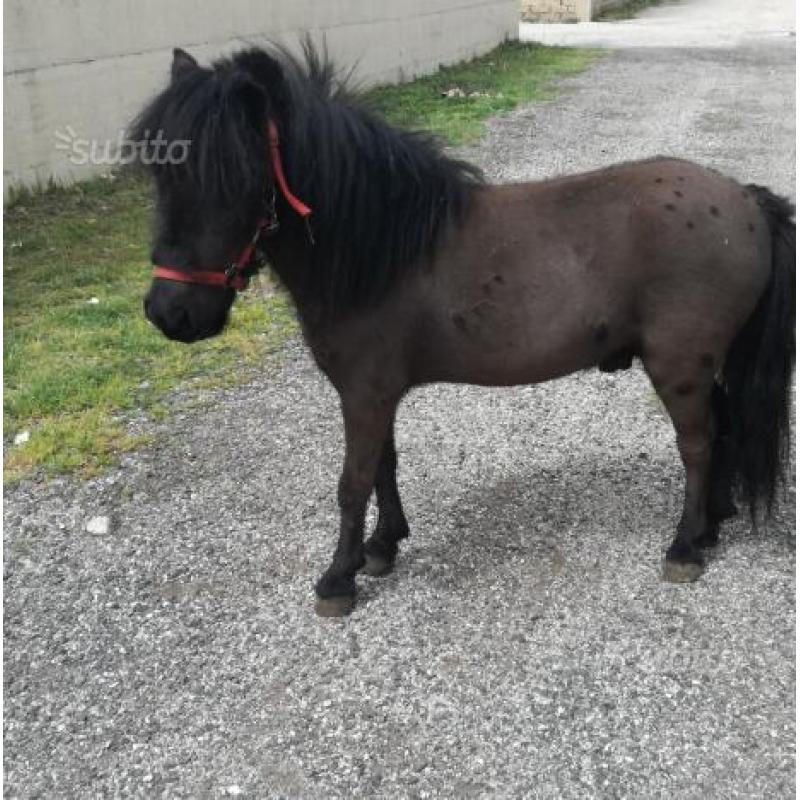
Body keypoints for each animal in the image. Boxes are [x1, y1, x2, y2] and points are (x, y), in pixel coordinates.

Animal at [133, 43, 795, 617]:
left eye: (240, 181)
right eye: (161, 177)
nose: (170, 313)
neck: (381, 247)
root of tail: (744, 199)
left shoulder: (365, 393)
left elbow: (353, 482)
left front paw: (339, 577)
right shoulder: (374, 393)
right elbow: (384, 467)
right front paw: (382, 547)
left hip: (677, 365)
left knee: (698, 444)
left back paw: (684, 547)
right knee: (723, 428)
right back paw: (712, 525)